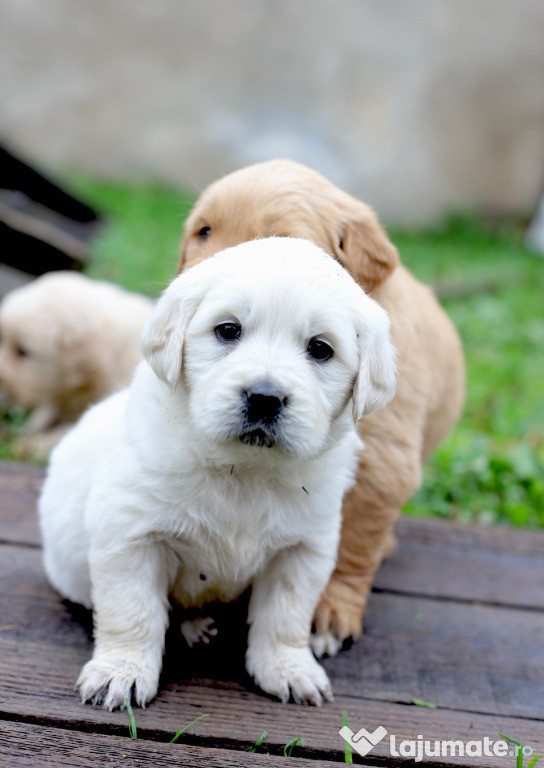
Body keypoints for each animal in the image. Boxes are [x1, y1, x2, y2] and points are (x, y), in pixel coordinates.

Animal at [0, 272, 152, 460]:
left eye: (22, 351)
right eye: (3, 340)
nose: (1, 385)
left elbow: (64, 433)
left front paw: (26, 445)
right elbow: (47, 413)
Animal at [38, 238, 396, 708]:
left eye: (321, 349)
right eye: (228, 330)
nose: (264, 398)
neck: (243, 469)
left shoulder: (304, 549)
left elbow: (286, 616)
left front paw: (288, 668)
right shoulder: (130, 536)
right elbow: (133, 611)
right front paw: (121, 672)